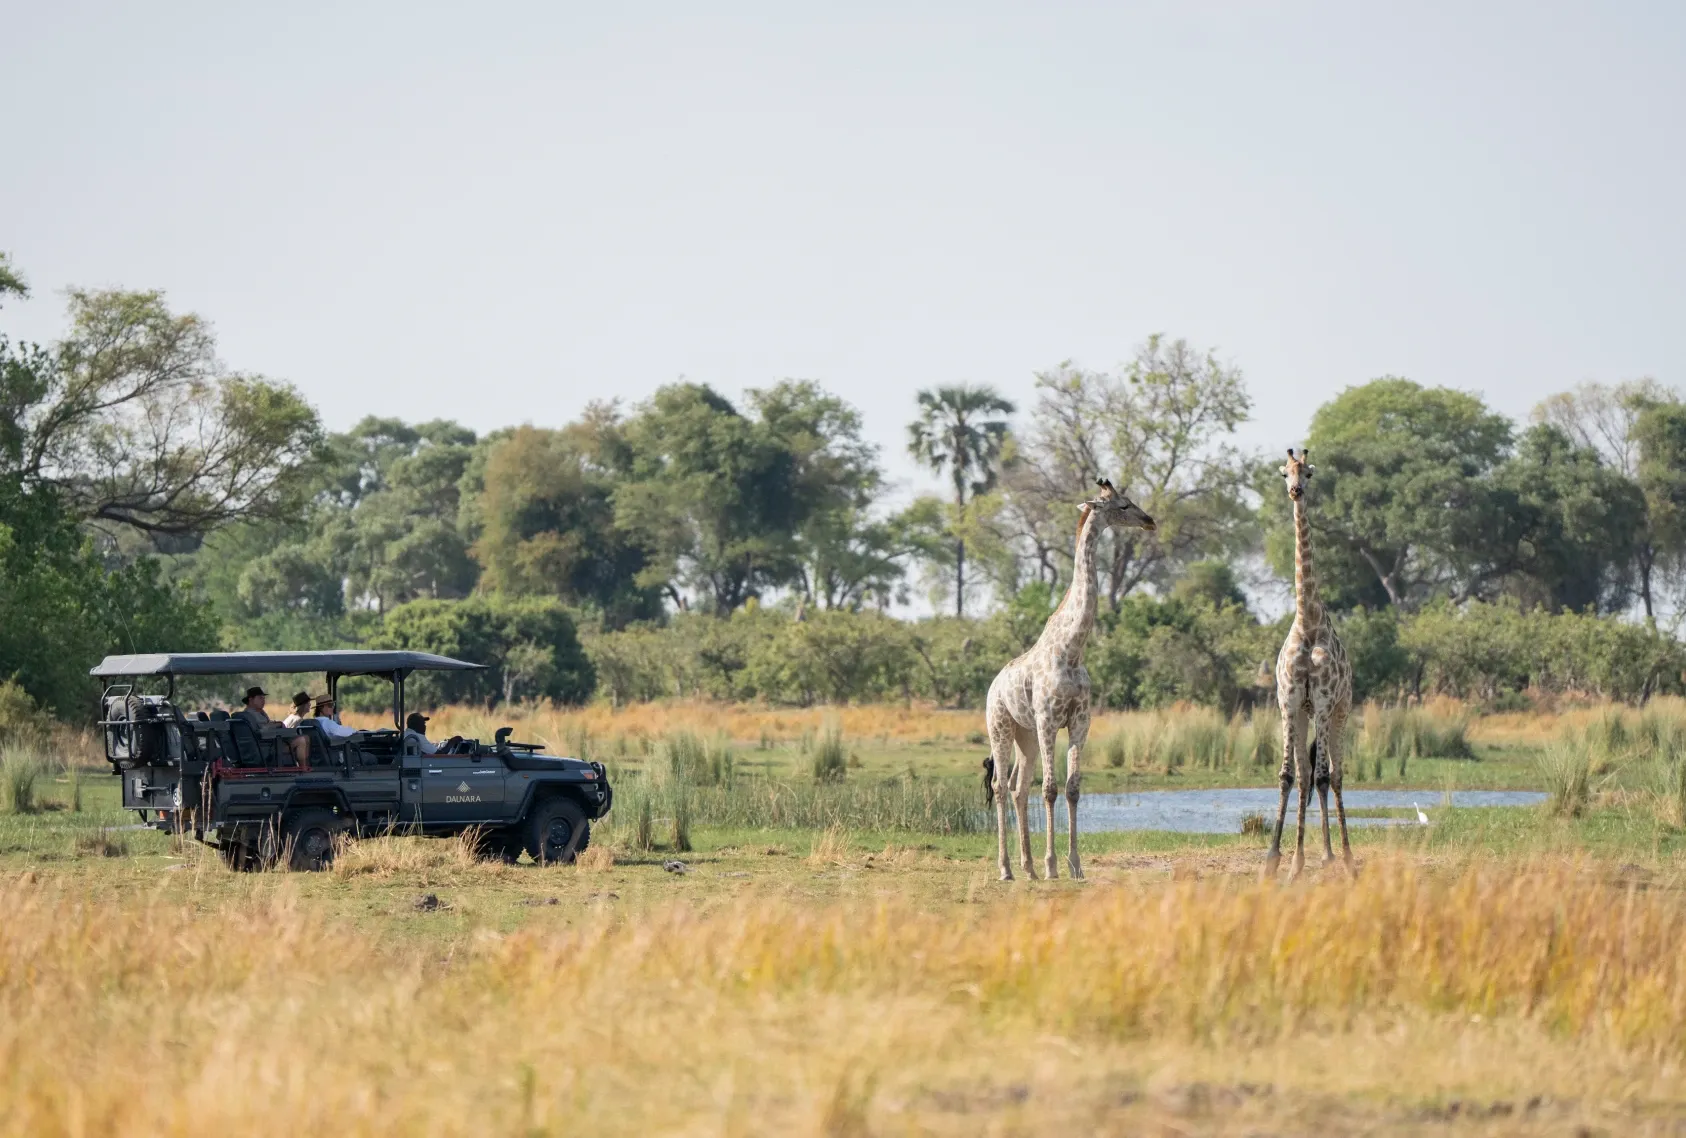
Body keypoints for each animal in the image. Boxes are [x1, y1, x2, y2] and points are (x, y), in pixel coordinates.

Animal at [984, 479, 1155, 881]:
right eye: (1123, 505)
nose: (1150, 520)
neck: (1073, 648)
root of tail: (992, 686)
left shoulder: (1079, 721)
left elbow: (1073, 788)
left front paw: (1074, 865)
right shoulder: (1049, 720)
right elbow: (1050, 789)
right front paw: (1053, 866)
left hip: (1026, 735)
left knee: (1017, 787)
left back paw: (1027, 868)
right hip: (1001, 727)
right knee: (1000, 786)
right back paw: (1007, 869)